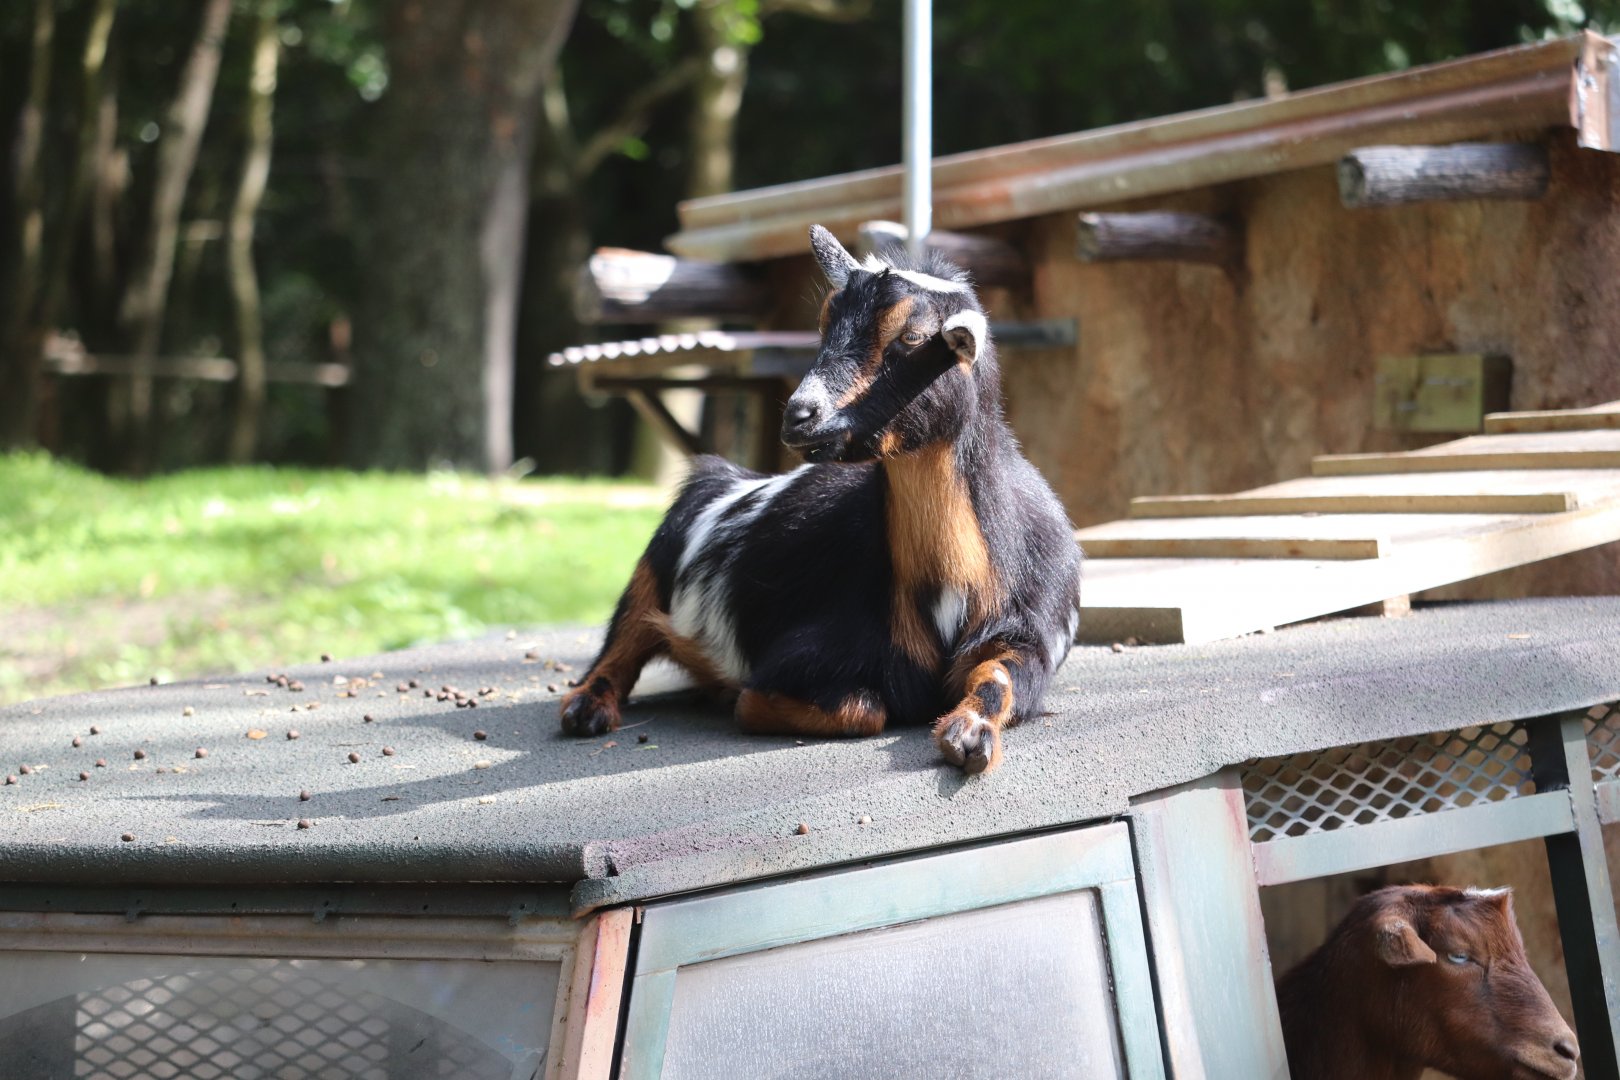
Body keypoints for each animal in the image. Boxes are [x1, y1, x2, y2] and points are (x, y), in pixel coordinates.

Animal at [558, 225, 1081, 773]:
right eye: (825, 324)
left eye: (913, 336)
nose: (799, 415)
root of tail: (725, 474)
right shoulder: (801, 658)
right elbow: (862, 707)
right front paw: (739, 698)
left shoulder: (1031, 635)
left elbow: (999, 678)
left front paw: (971, 734)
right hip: (651, 569)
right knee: (624, 635)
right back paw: (587, 708)